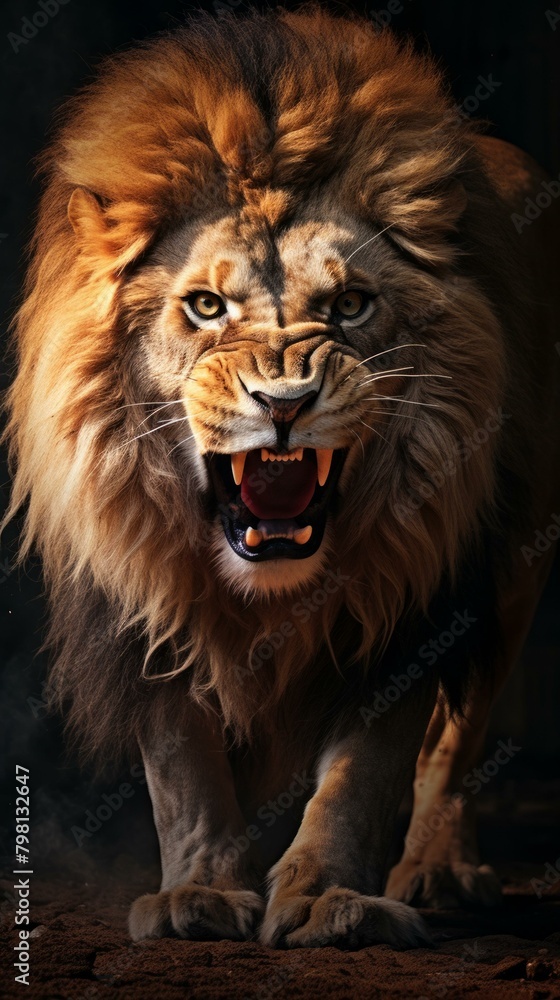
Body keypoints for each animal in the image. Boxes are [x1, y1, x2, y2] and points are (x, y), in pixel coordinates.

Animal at [4, 7, 560, 948]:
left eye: (349, 305)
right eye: (205, 306)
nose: (286, 403)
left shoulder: (409, 594)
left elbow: (365, 770)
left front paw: (328, 897)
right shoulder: (145, 585)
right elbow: (181, 765)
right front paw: (198, 892)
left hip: (514, 567)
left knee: (459, 736)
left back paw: (438, 870)